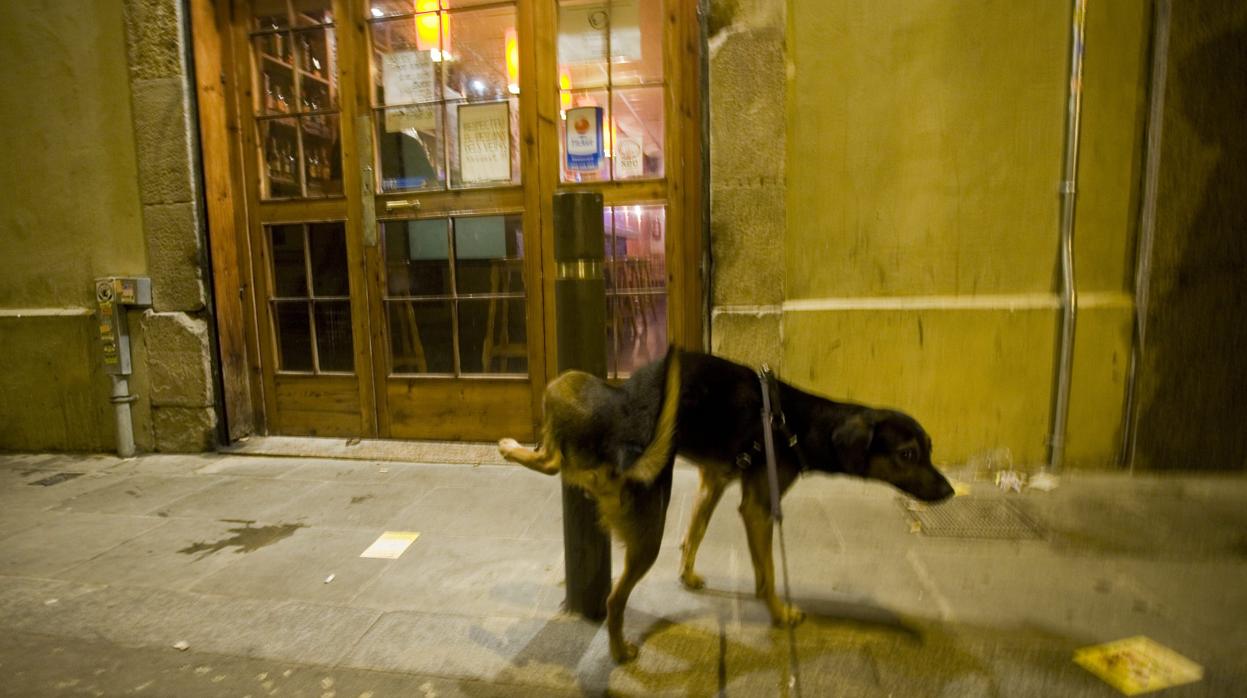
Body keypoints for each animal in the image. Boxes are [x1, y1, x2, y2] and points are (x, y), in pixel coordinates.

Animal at [496, 346, 952, 663]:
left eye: (930, 449)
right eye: (908, 455)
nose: (949, 491)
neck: (798, 422)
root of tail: (623, 442)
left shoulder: (713, 483)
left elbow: (695, 533)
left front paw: (689, 574)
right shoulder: (758, 506)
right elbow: (767, 574)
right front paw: (780, 614)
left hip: (568, 385)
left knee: (550, 460)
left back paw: (510, 447)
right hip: (648, 526)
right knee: (612, 598)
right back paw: (620, 651)